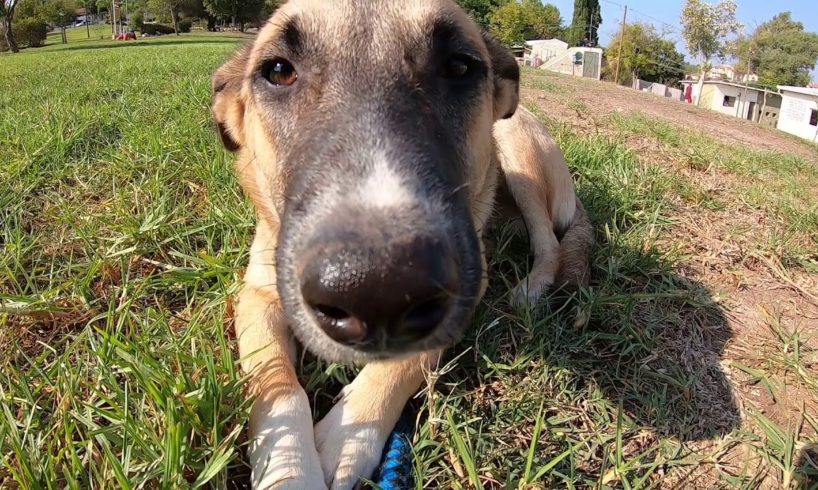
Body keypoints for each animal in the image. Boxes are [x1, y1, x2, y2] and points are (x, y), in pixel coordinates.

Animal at [209, 1, 592, 488]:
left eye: (459, 66)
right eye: (278, 71)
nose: (377, 288)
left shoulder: (466, 287)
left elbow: (407, 361)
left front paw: (350, 432)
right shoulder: (258, 294)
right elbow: (276, 383)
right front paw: (288, 468)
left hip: (514, 151)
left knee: (549, 241)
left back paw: (531, 286)